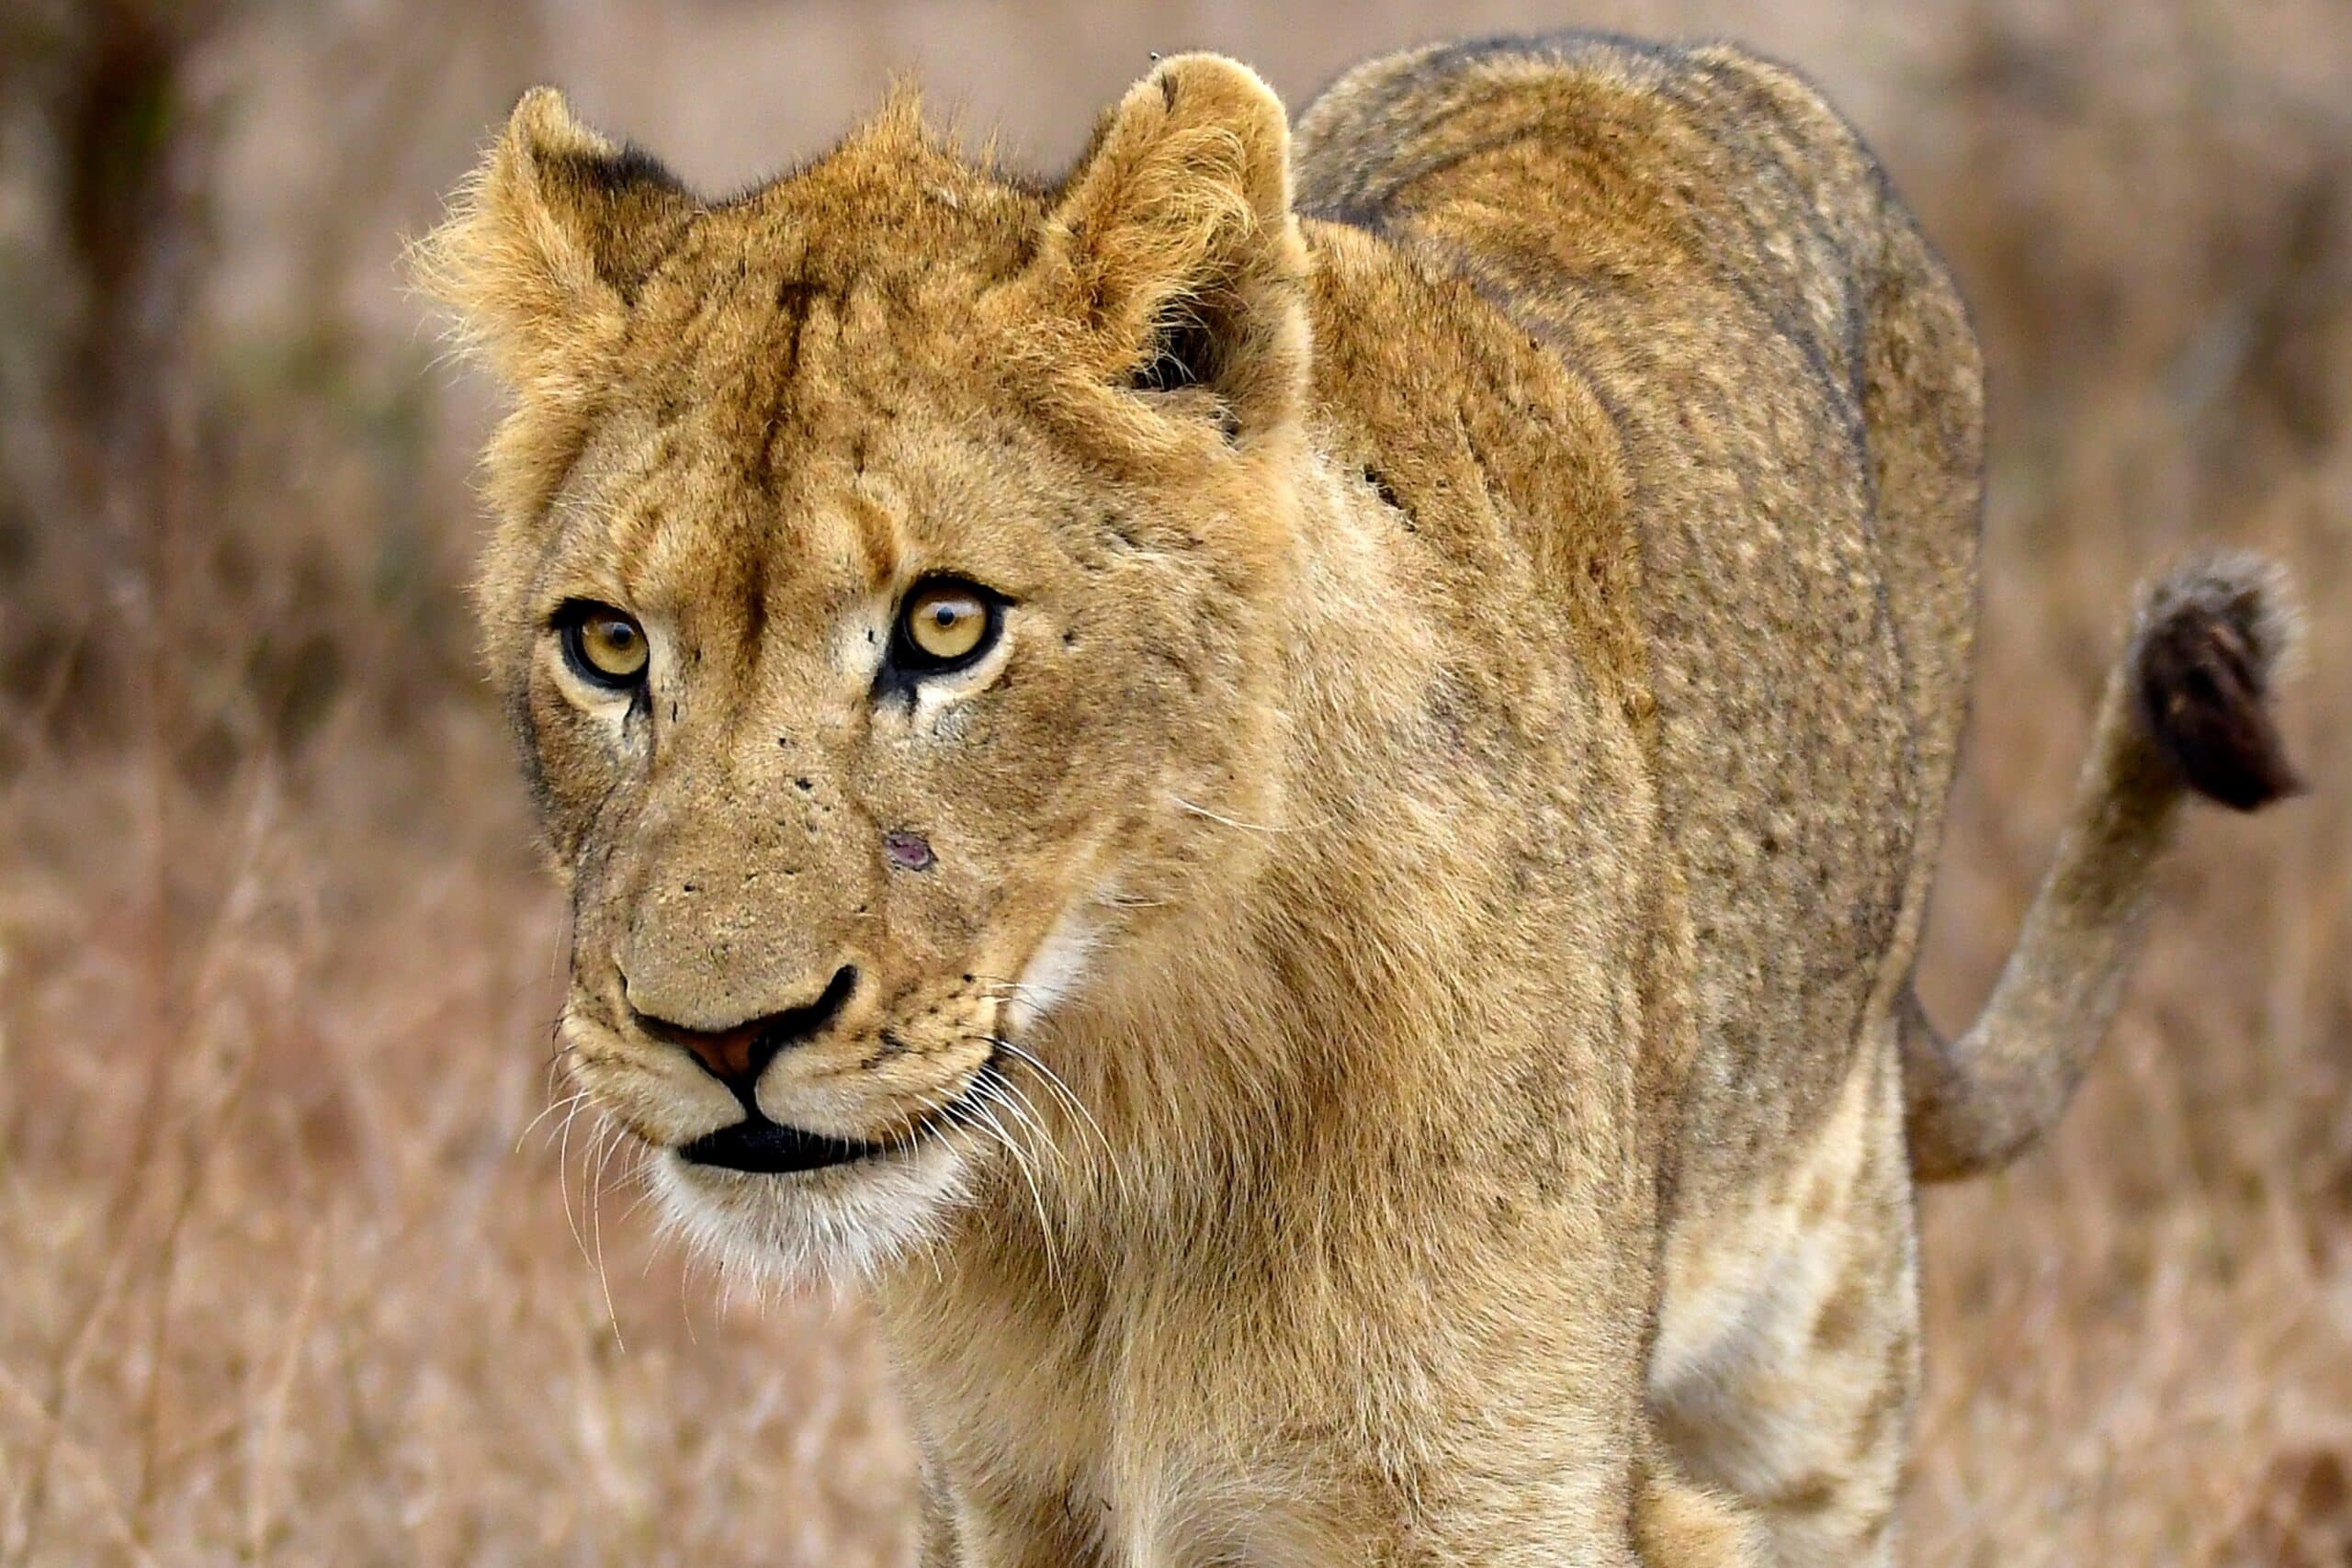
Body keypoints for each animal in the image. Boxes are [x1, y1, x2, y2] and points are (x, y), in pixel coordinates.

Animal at [420, 33, 2301, 1565]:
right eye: (605, 644)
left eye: (947, 626)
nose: (719, 1035)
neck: (1121, 1130)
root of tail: (1635, 49)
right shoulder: (1002, 1496)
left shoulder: (1503, 1497)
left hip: (1819, 1367)